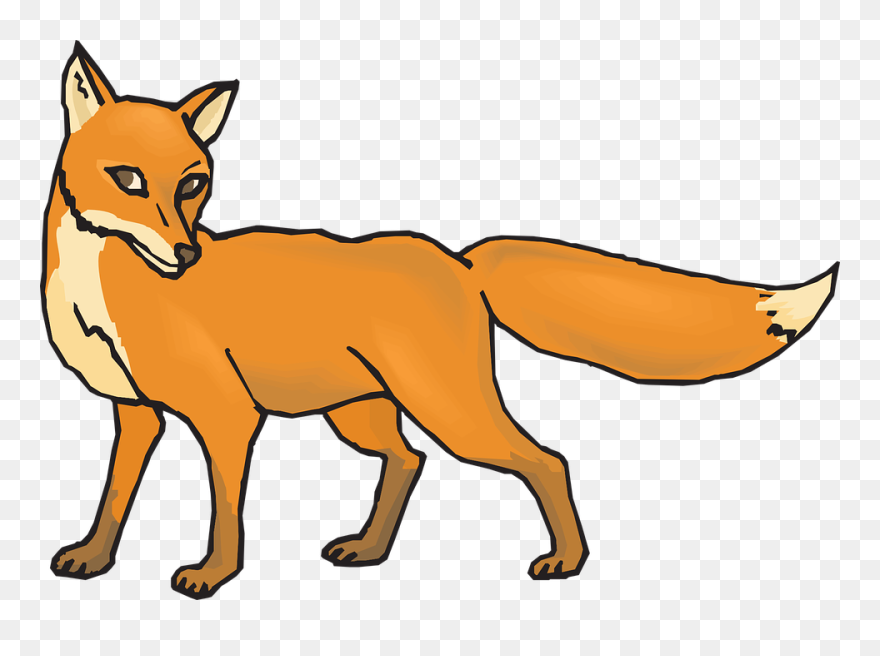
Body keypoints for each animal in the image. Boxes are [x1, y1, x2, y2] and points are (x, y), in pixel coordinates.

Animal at [42, 43, 839, 599]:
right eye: (129, 178)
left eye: (193, 183)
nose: (185, 255)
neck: (98, 292)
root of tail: (458, 259)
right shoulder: (135, 413)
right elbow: (113, 498)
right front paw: (92, 559)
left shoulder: (227, 415)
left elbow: (223, 511)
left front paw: (213, 575)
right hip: (361, 413)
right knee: (408, 461)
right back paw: (370, 550)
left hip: (449, 409)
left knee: (544, 460)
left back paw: (567, 561)